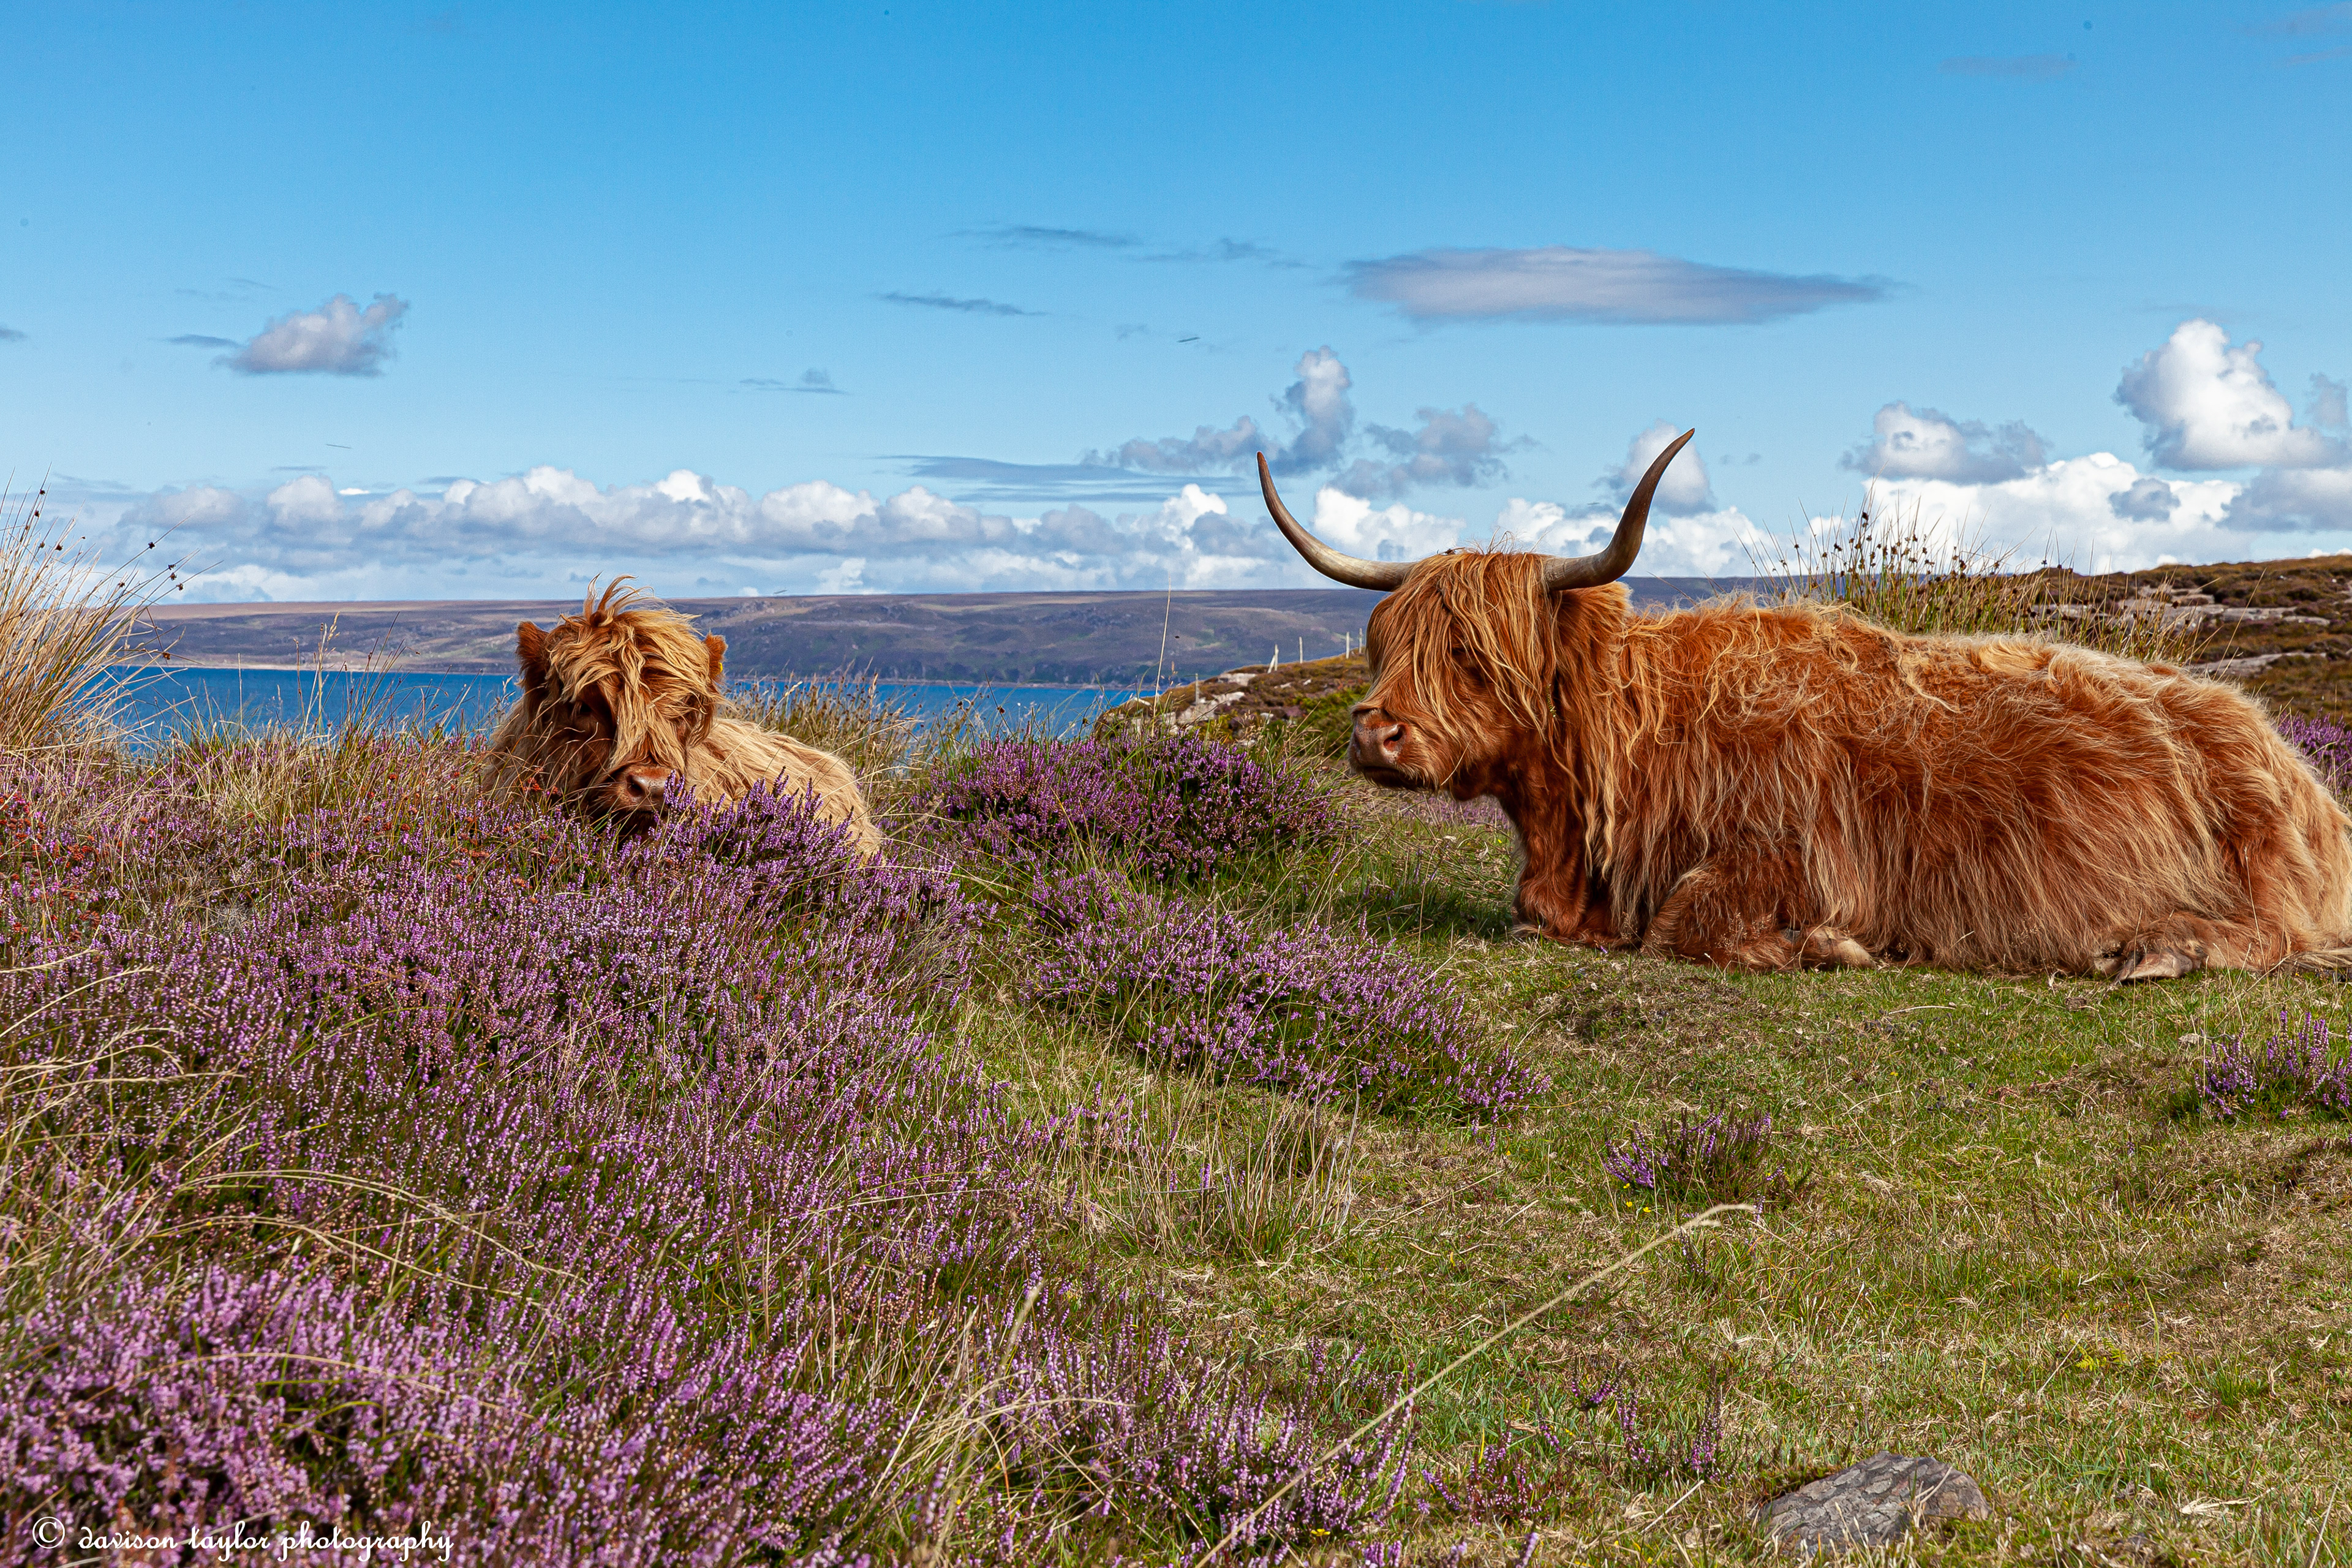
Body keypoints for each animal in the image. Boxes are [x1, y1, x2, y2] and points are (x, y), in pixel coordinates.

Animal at [1257, 433, 2352, 980]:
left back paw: (2157, 948)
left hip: (2258, 854)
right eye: (1386, 645)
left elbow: (1686, 922)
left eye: (1475, 657)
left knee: (2282, 934)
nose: (1374, 731)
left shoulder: (1801, 850)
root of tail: (2288, 755)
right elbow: (1544, 922)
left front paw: (1820, 946)